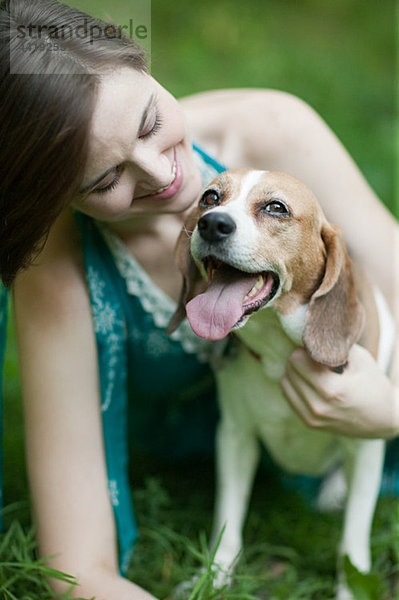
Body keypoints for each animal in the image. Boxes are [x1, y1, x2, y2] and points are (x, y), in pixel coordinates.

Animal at [167, 169, 396, 600]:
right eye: (210, 197)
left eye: (276, 208)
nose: (212, 223)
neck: (277, 352)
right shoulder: (235, 436)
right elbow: (228, 522)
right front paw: (214, 577)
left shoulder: (365, 447)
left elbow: (353, 544)